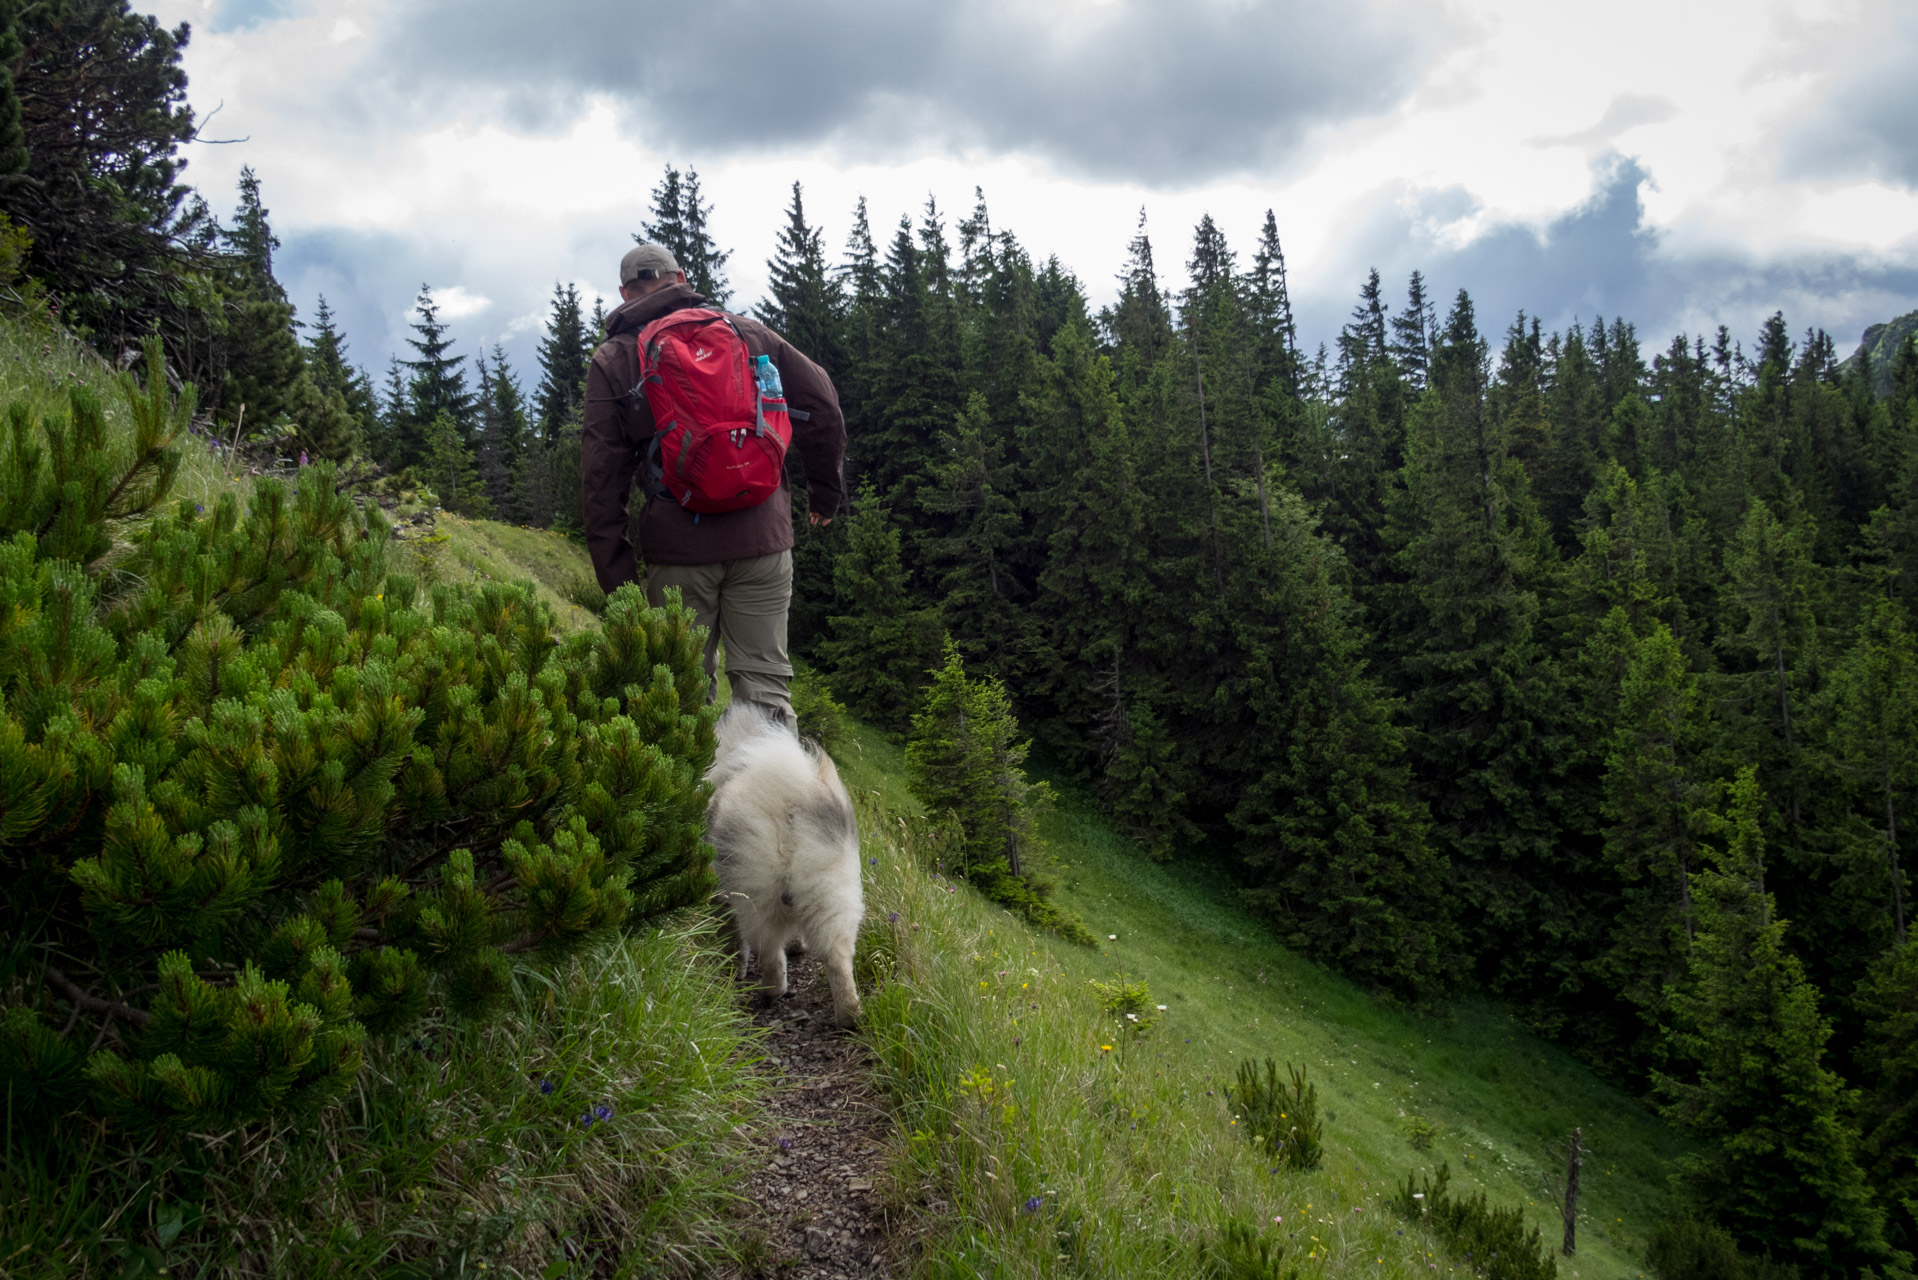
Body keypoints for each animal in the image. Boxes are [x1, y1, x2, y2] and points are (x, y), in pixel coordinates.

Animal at [705, 706, 863, 1028]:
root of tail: (793, 801)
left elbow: (737, 941)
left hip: (757, 896)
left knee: (769, 952)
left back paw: (769, 991)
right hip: (834, 894)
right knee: (838, 958)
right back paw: (848, 1015)